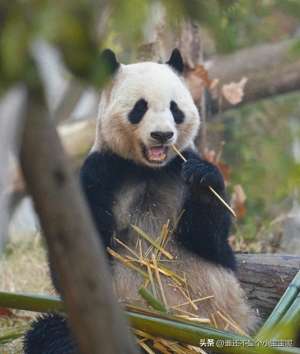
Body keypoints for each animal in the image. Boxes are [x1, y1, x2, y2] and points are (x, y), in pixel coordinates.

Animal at [23, 47, 258, 354]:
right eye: (140, 107)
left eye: (174, 108)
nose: (162, 135)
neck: (149, 170)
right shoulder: (100, 172)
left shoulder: (180, 167)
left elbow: (210, 239)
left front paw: (203, 178)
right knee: (49, 331)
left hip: (232, 328)